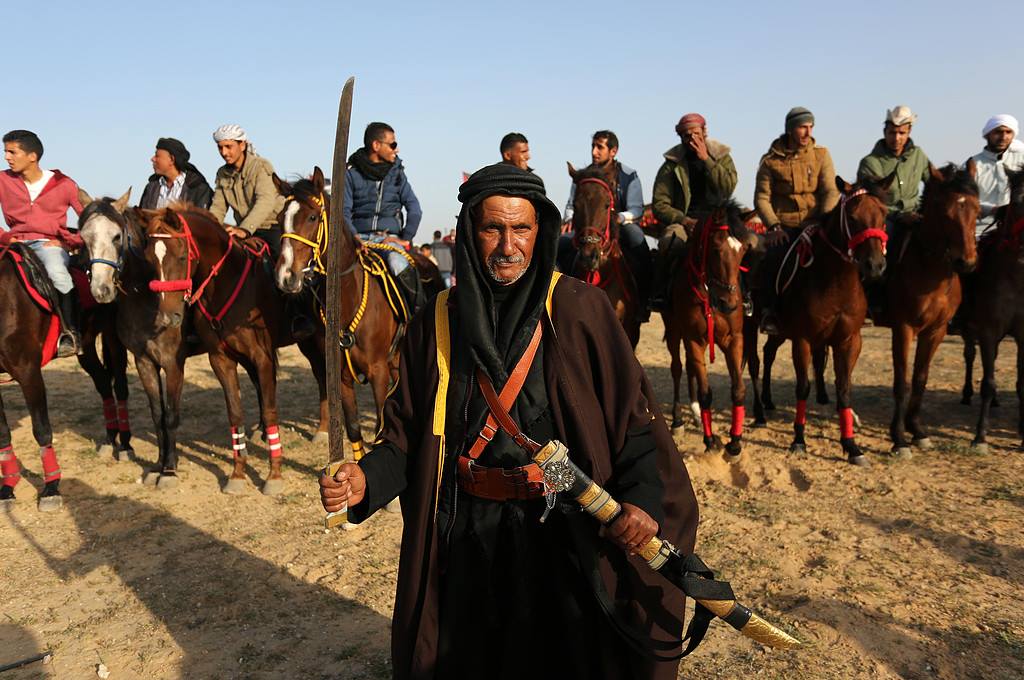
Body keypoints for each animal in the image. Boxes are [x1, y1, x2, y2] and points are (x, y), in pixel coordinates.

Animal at [140, 204, 329, 495]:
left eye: (181, 256)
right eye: (150, 258)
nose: (167, 316)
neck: (226, 285)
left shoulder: (262, 357)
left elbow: (271, 410)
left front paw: (274, 475)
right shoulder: (221, 359)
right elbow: (235, 413)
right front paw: (238, 473)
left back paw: (323, 429)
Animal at [273, 167, 444, 461]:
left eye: (312, 217)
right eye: (280, 218)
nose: (286, 276)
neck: (348, 303)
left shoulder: (377, 371)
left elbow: (381, 427)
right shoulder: (341, 378)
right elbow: (354, 430)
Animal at [662, 201, 760, 457]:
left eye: (744, 250)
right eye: (716, 248)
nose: (730, 303)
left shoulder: (734, 339)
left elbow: (738, 389)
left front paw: (735, 442)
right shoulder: (694, 340)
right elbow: (706, 393)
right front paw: (710, 441)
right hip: (674, 331)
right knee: (677, 368)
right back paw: (678, 420)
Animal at [745, 176, 890, 465]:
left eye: (884, 214)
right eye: (853, 217)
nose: (874, 265)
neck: (834, 281)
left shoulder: (849, 341)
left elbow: (844, 389)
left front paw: (851, 445)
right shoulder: (802, 339)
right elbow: (803, 387)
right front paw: (799, 439)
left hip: (780, 332)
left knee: (768, 354)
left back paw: (767, 400)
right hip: (751, 325)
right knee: (755, 362)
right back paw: (759, 412)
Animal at [874, 163, 978, 457]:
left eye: (978, 210)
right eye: (946, 213)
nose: (966, 262)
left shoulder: (936, 331)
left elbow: (920, 378)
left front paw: (917, 430)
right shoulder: (903, 329)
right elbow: (902, 382)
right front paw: (898, 438)